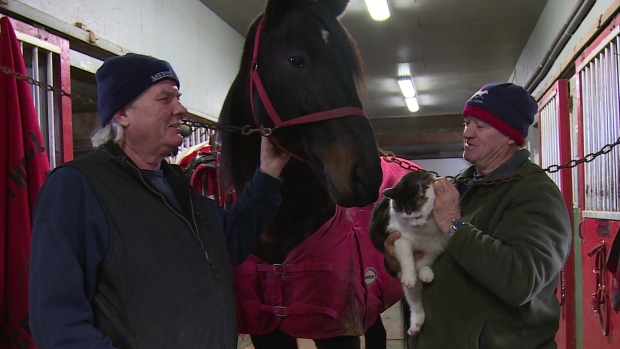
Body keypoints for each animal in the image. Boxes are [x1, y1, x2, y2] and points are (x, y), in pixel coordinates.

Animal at [368, 170, 446, 336]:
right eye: (406, 217)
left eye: (417, 216)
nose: (415, 225)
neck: (423, 230)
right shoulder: (400, 238)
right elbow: (407, 259)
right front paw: (410, 275)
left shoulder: (438, 243)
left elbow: (427, 259)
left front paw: (424, 271)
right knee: (415, 304)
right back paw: (416, 324)